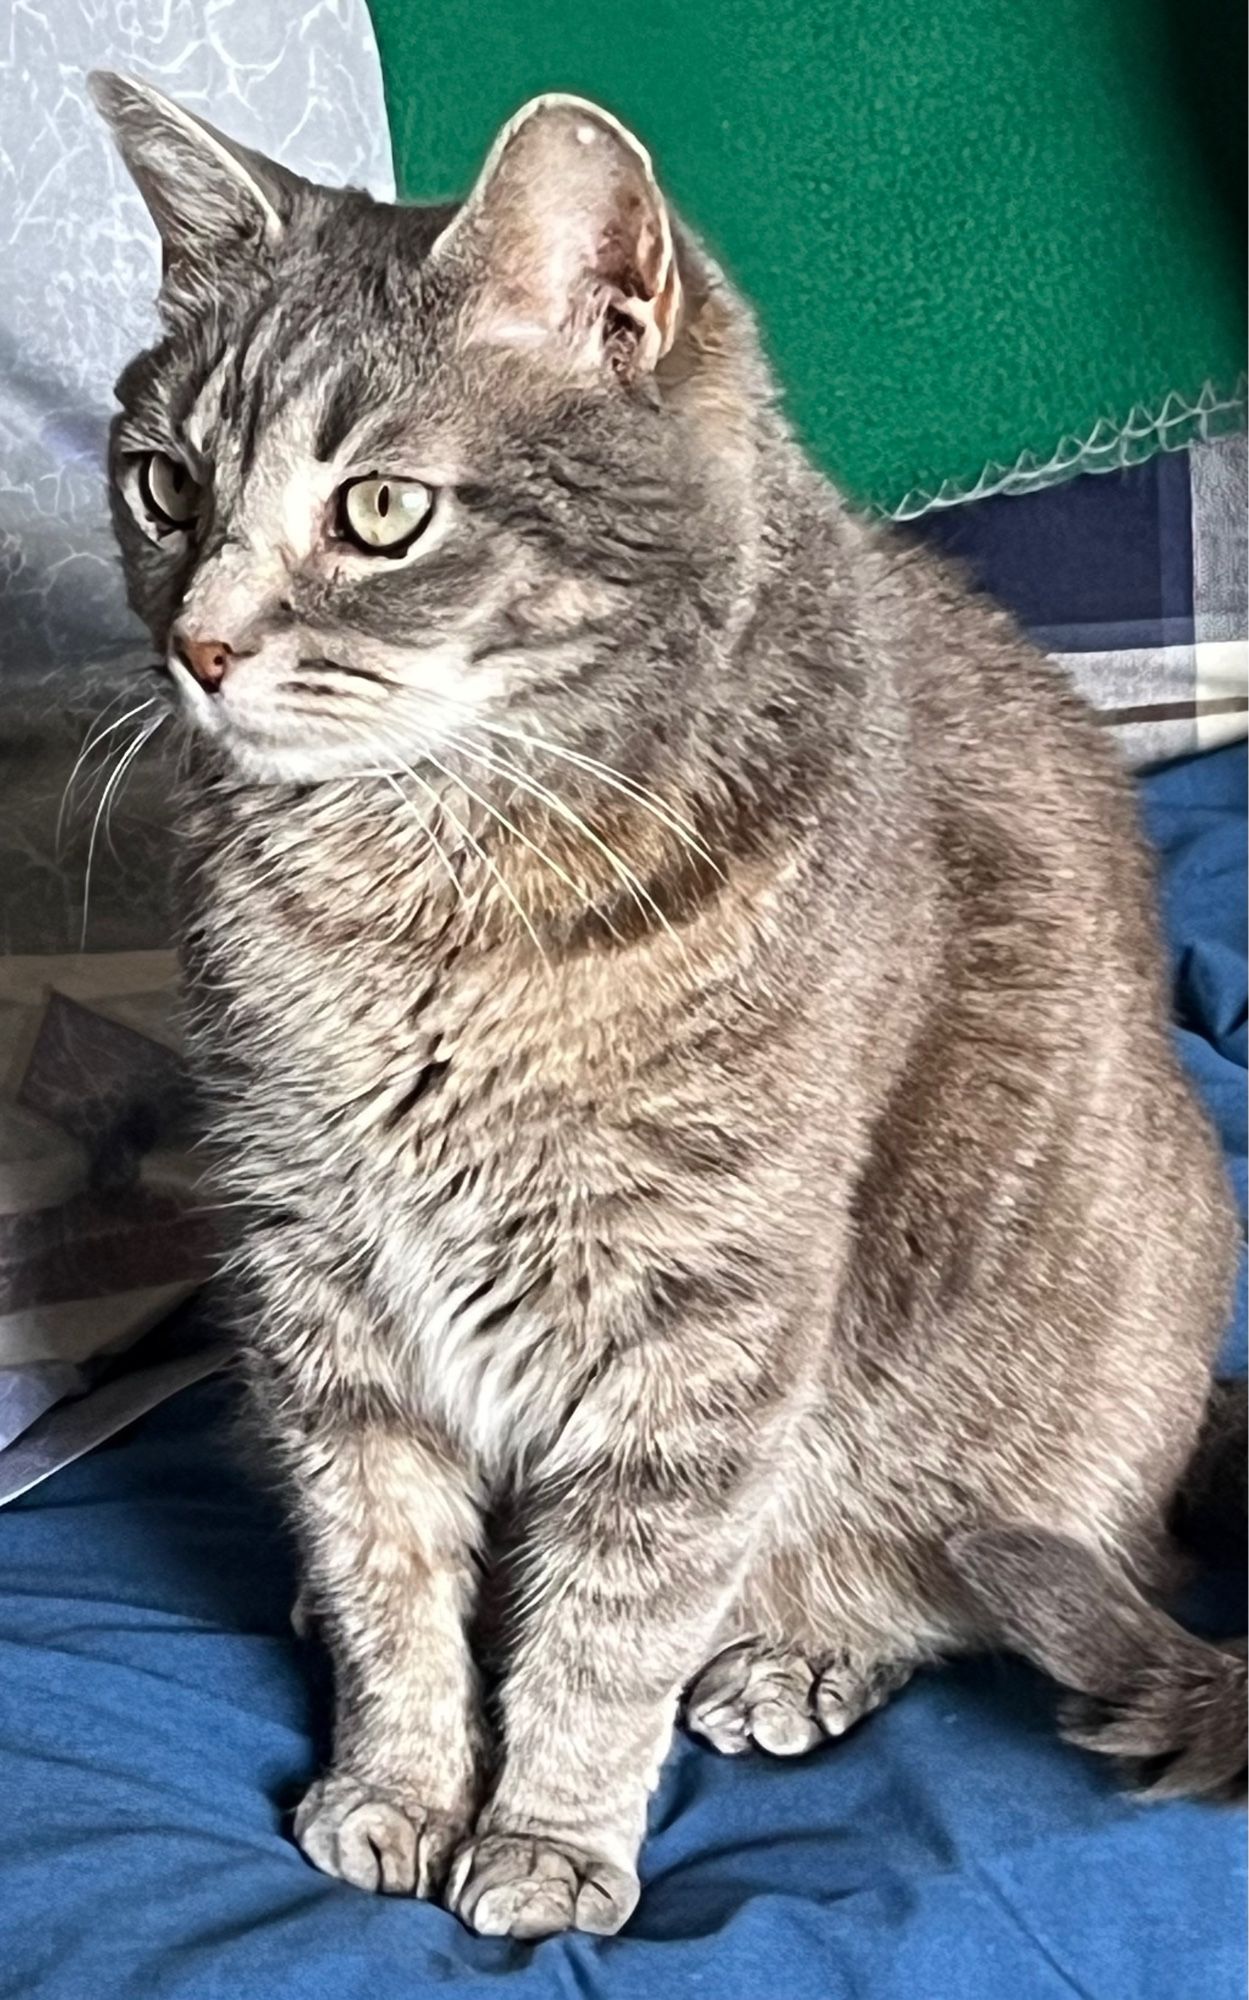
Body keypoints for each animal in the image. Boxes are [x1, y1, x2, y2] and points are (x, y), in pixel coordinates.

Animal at [92, 74, 1240, 1936]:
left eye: (381, 511)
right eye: (163, 484)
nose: (197, 646)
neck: (411, 891)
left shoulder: (699, 1322)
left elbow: (612, 1617)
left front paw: (546, 1836)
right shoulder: (314, 1279)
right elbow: (384, 1560)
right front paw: (395, 1778)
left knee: (1001, 1576)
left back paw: (799, 1654)